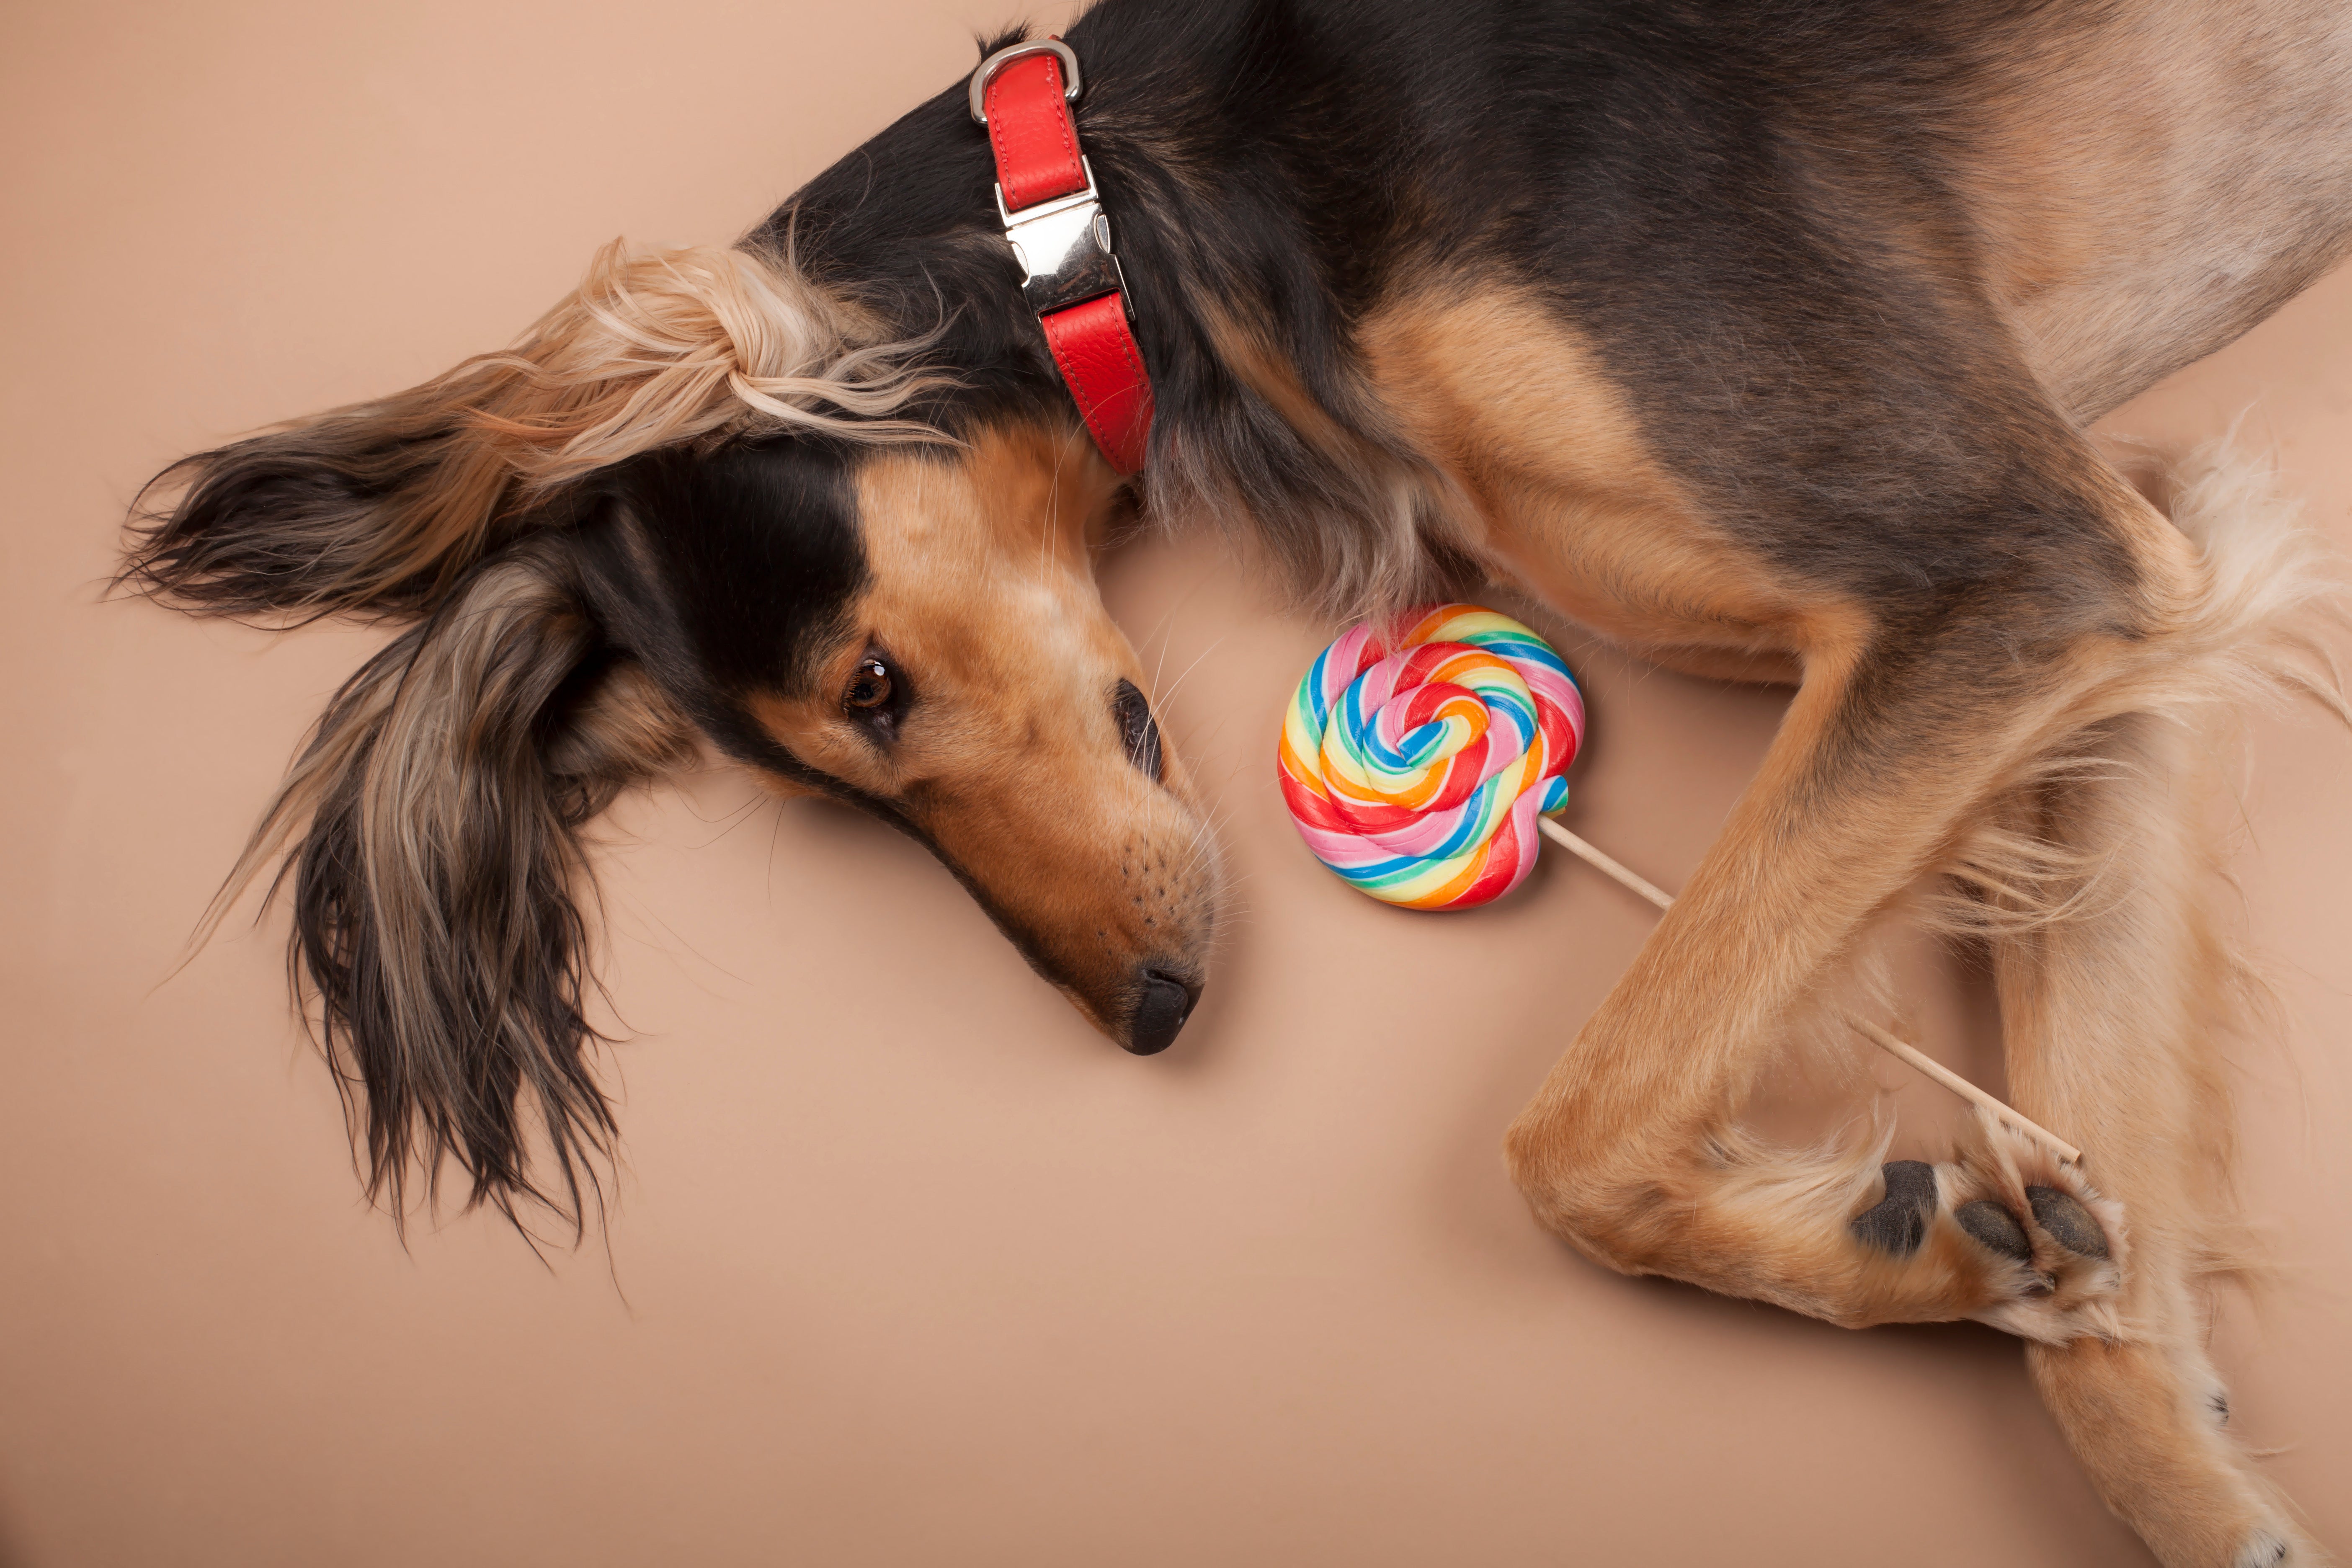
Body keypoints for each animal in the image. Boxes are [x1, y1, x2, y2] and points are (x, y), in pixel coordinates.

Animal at [124, 6, 2352, 1561]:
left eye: (873, 687)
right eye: (841, 787)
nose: (1147, 1014)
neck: (1111, 201)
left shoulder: (2010, 571)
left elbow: (1571, 1130)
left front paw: (1909, 1239)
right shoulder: (2110, 608)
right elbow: (2112, 1280)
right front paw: (2082, 1350)